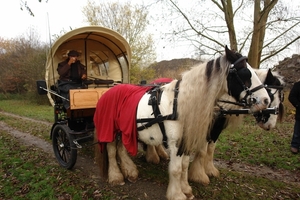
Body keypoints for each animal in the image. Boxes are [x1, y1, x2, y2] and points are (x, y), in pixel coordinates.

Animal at [94, 45, 270, 200]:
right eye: (245, 73)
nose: (266, 100)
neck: (180, 104)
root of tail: (108, 91)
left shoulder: (186, 141)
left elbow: (185, 166)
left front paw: (186, 189)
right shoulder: (175, 143)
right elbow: (176, 169)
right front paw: (177, 194)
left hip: (123, 130)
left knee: (121, 148)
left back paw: (130, 171)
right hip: (109, 129)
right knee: (111, 150)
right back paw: (116, 176)